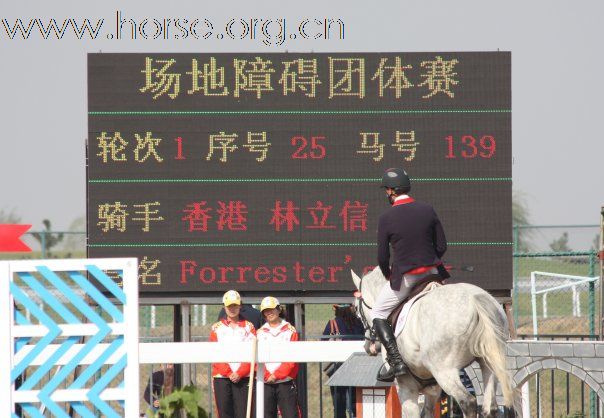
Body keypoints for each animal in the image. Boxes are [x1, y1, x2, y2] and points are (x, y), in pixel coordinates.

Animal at [352, 268, 516, 418]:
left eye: (357, 311)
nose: (368, 347)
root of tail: (474, 300)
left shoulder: (406, 387)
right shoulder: (433, 389)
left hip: (444, 370)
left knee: (467, 402)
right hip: (489, 363)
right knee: (490, 407)